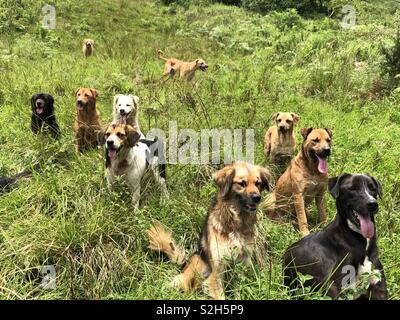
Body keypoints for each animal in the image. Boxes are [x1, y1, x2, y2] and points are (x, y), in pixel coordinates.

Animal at [148, 162, 270, 300]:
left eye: (258, 183)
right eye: (242, 183)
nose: (257, 197)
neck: (236, 224)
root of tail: (185, 264)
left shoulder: (241, 266)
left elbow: (238, 292)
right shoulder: (217, 270)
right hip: (196, 266)